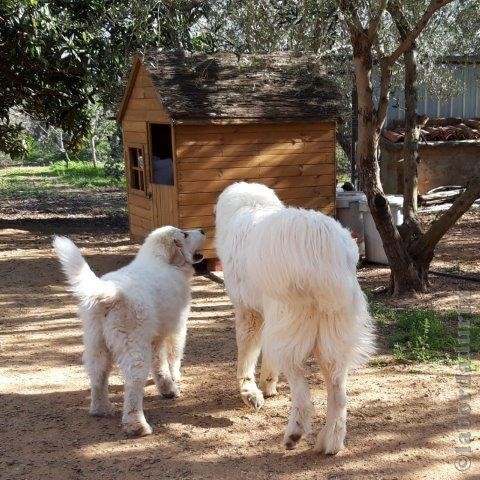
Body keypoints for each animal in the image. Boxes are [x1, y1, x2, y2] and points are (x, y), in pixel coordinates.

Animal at [53, 225, 205, 436]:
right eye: (184, 234)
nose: (203, 230)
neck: (160, 260)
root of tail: (111, 293)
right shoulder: (177, 328)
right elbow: (174, 356)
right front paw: (175, 378)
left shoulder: (155, 337)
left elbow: (159, 365)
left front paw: (167, 388)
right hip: (134, 346)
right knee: (133, 384)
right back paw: (137, 425)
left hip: (96, 343)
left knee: (98, 375)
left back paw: (100, 409)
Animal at [214, 183, 376, 454]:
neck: (250, 206)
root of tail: (317, 236)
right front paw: (267, 385)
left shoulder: (250, 314)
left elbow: (246, 359)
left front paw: (250, 392)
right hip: (332, 339)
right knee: (339, 395)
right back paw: (331, 442)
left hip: (291, 332)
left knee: (302, 394)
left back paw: (295, 433)